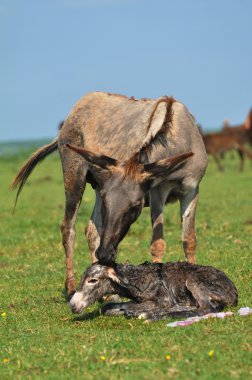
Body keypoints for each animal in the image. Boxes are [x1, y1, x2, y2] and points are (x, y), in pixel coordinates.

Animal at [69, 262, 238, 320]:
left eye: (93, 280)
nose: (72, 305)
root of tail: (234, 294)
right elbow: (108, 307)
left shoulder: (165, 299)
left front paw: (139, 312)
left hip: (194, 281)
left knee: (206, 309)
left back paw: (149, 316)